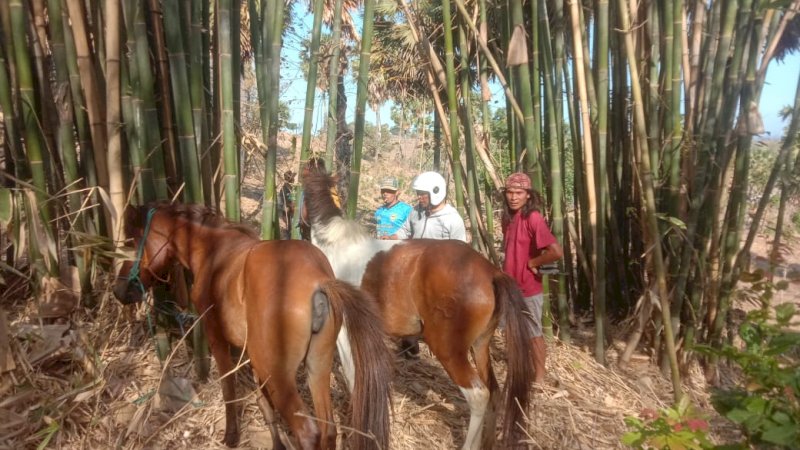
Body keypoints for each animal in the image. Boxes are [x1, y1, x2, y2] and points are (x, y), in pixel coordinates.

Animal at [306, 171, 536, 448]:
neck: (338, 248)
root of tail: (491, 272)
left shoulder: (343, 332)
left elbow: (352, 376)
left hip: (449, 350)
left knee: (479, 395)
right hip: (480, 345)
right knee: (493, 392)